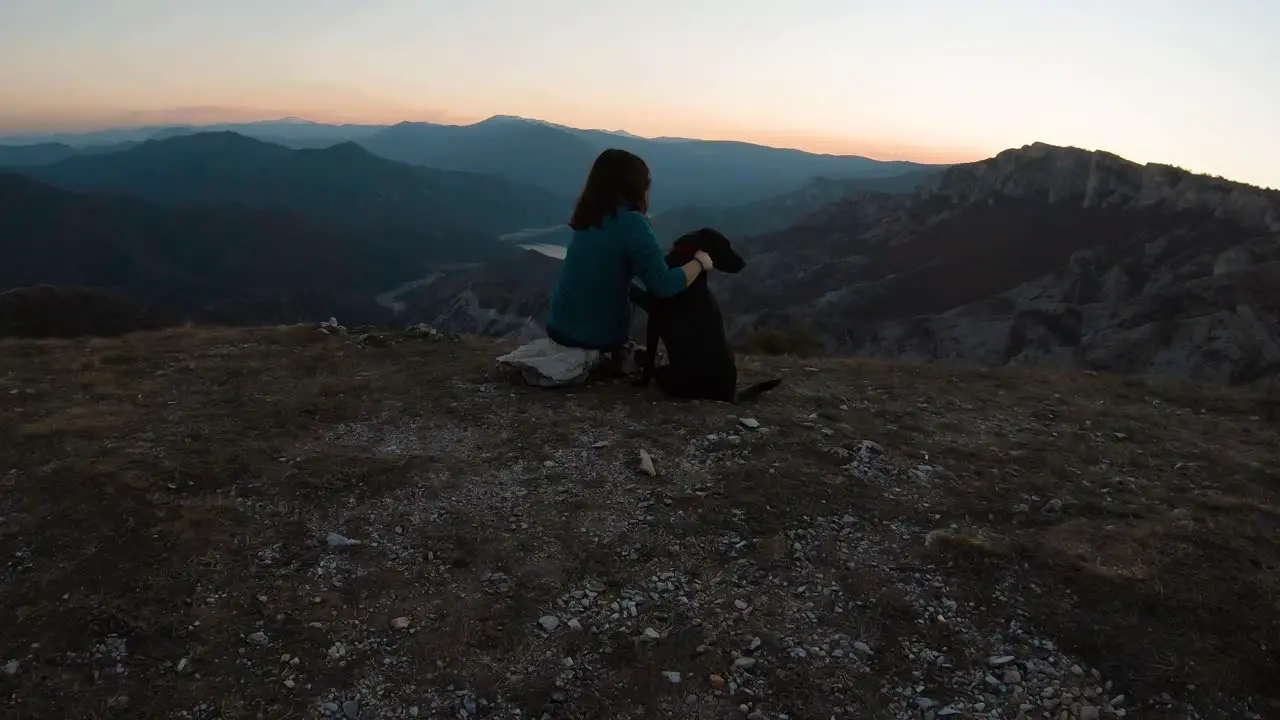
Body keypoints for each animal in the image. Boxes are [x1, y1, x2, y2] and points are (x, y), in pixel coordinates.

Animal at [629, 226, 778, 399]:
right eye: (725, 245)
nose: (744, 264)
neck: (687, 254)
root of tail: (730, 394)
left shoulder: (654, 315)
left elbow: (651, 356)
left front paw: (642, 380)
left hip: (668, 373)